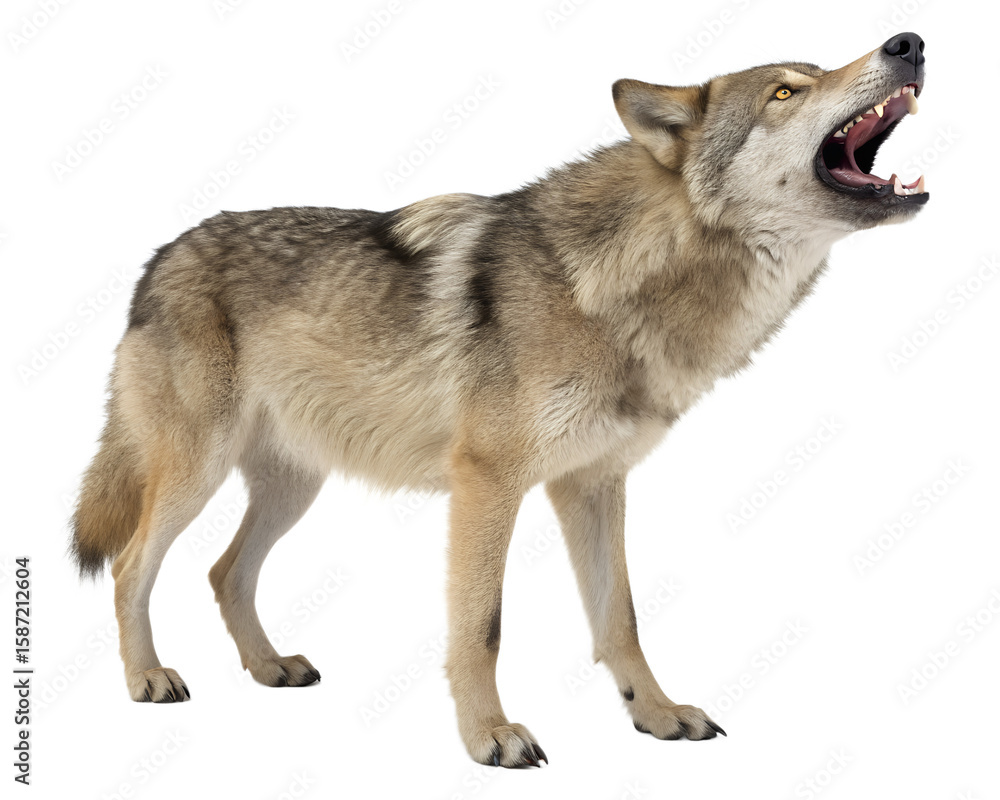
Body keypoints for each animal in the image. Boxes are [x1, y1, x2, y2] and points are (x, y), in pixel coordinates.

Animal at [72, 33, 928, 766]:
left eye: (812, 71)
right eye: (786, 90)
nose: (908, 42)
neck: (618, 282)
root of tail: (158, 259)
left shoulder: (593, 483)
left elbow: (620, 619)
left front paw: (655, 716)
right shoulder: (488, 483)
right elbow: (481, 627)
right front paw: (490, 737)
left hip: (293, 488)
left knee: (224, 572)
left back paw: (269, 667)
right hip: (197, 473)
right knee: (130, 566)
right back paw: (148, 679)